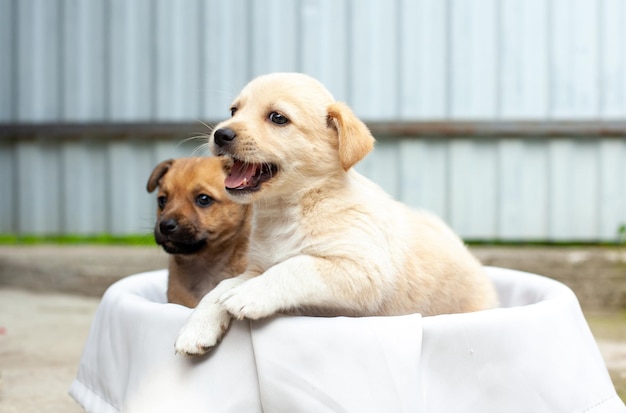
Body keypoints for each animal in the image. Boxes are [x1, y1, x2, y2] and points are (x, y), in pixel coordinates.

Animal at [173, 71, 494, 354]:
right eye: (233, 110)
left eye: (278, 118)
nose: (221, 134)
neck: (292, 209)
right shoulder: (256, 268)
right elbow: (220, 288)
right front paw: (196, 328)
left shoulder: (360, 269)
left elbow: (295, 266)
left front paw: (249, 295)